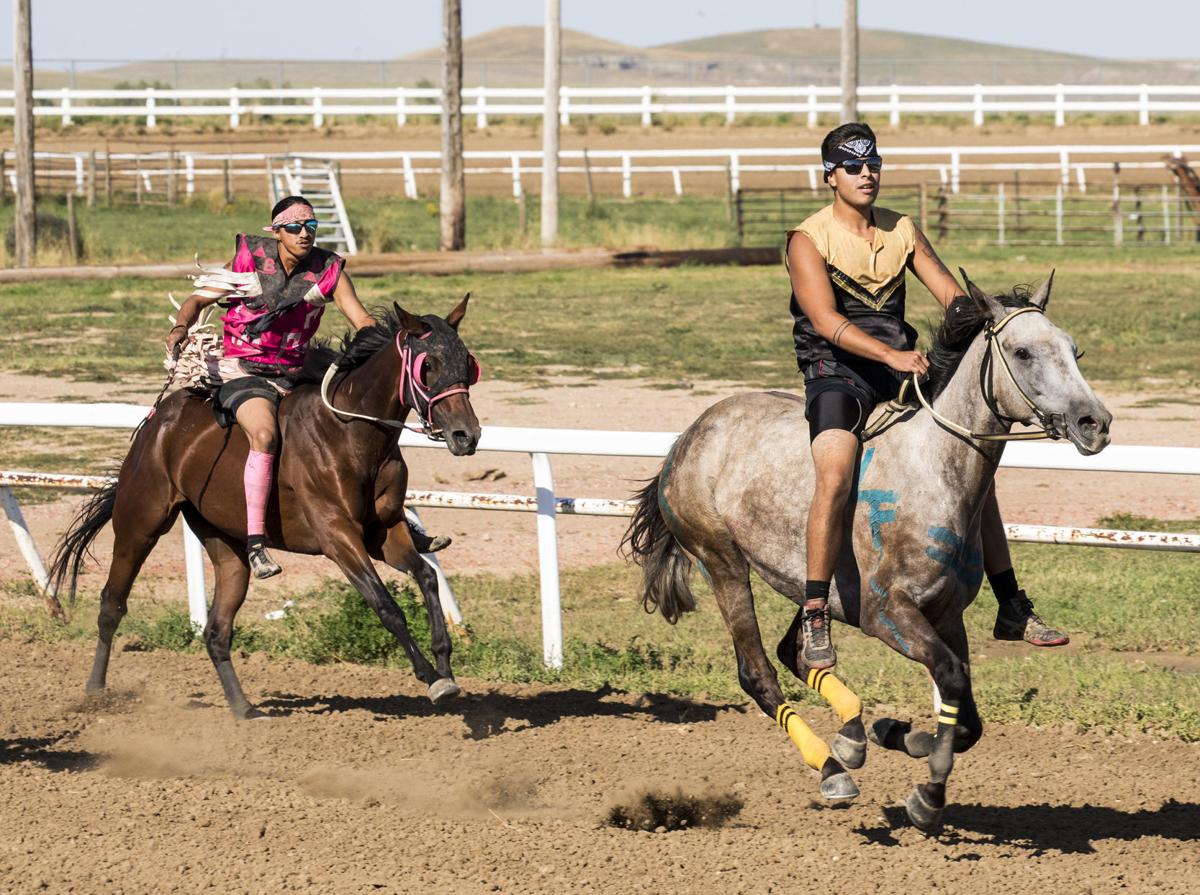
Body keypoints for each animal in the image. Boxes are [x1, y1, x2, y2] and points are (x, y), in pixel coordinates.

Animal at [48, 298, 482, 719]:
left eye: (468, 362)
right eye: (428, 365)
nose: (467, 435)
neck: (352, 434)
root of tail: (158, 421)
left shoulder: (385, 532)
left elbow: (427, 577)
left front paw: (445, 664)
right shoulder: (338, 536)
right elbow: (386, 606)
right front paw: (430, 676)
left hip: (225, 544)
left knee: (217, 630)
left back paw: (243, 709)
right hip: (140, 523)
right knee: (112, 603)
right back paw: (95, 692)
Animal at [622, 272, 1112, 833]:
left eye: (1074, 349)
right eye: (1023, 350)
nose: (1095, 422)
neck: (932, 471)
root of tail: (688, 437)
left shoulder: (946, 618)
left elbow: (967, 715)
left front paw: (899, 736)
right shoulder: (888, 614)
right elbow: (951, 682)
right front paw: (926, 793)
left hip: (808, 588)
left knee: (797, 651)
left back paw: (853, 734)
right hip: (722, 563)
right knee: (759, 674)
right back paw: (832, 768)